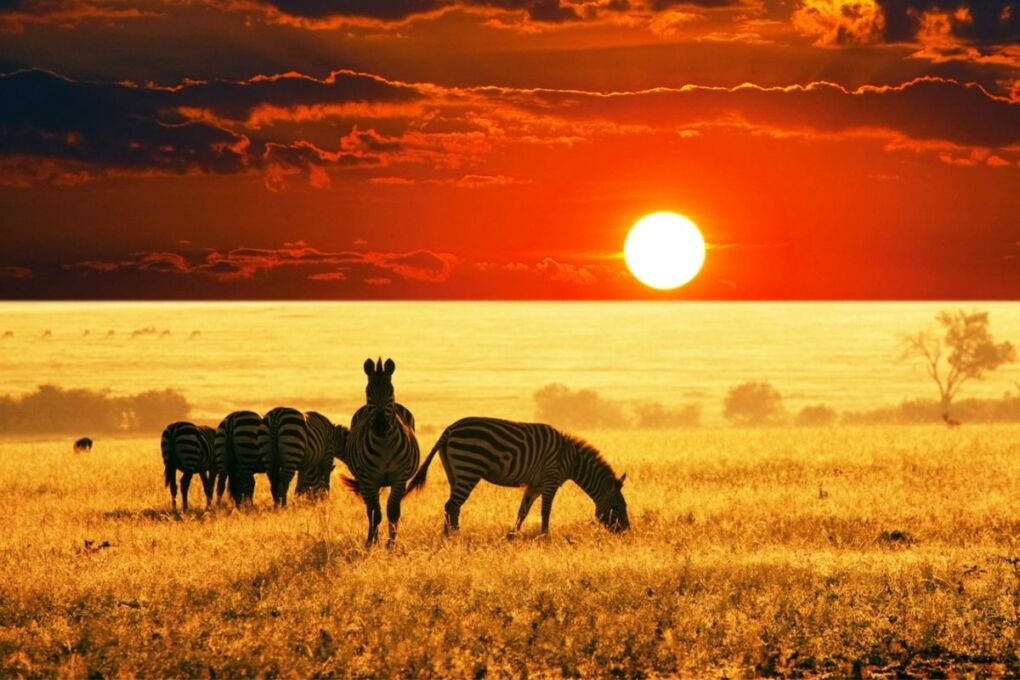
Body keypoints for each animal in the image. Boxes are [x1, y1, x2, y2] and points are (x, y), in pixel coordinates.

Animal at [344, 356, 420, 546]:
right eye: (368, 392)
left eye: (390, 391)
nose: (380, 425)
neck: (385, 443)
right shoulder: (369, 479)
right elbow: (376, 514)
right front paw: (372, 542)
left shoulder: (400, 478)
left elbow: (393, 512)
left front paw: (391, 544)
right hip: (366, 481)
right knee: (370, 509)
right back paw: (372, 537)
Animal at [405, 420, 628, 538]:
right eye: (617, 507)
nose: (627, 531)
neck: (572, 459)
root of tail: (449, 429)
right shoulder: (551, 479)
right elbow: (546, 511)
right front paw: (545, 536)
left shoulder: (535, 485)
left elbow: (523, 511)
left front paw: (512, 535)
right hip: (469, 467)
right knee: (452, 504)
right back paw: (452, 536)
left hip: (455, 472)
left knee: (452, 505)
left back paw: (451, 534)